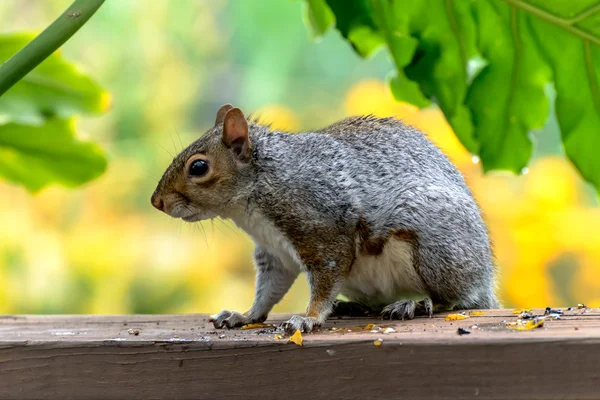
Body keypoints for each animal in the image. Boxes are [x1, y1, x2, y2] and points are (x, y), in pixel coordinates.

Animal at [152, 104, 500, 334]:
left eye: (198, 167)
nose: (156, 202)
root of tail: (484, 279)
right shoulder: (275, 254)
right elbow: (269, 290)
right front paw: (245, 315)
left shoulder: (322, 229)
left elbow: (324, 278)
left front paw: (309, 317)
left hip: (432, 248)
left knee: (454, 299)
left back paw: (414, 304)